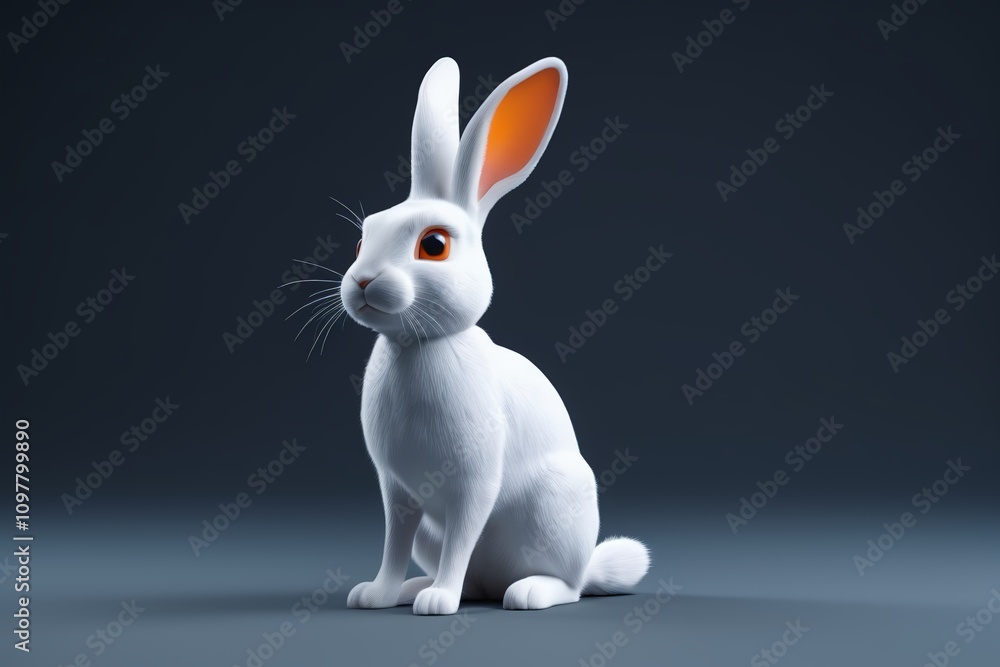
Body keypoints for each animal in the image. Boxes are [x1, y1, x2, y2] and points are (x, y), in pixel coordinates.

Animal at [340, 56, 650, 615]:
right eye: (360, 240)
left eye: (434, 245)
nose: (362, 281)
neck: (418, 346)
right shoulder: (397, 493)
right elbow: (393, 545)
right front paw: (375, 594)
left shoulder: (473, 484)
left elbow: (463, 536)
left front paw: (439, 602)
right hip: (435, 532)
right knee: (473, 578)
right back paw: (422, 588)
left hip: (556, 511)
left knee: (565, 585)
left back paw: (524, 592)